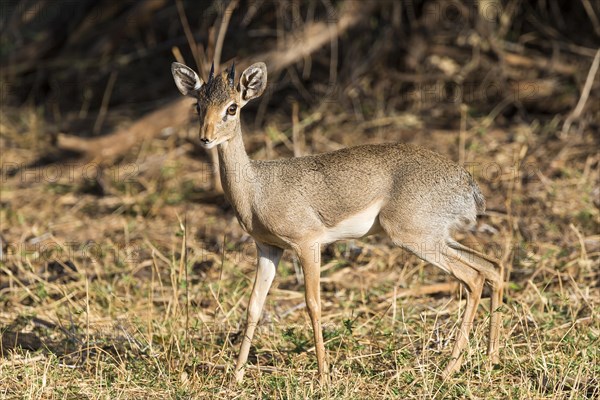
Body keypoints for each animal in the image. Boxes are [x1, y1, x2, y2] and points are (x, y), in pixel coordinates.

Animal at [171, 60, 504, 382]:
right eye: (198, 105)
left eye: (232, 107)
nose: (206, 138)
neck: (256, 189)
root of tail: (468, 184)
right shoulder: (268, 248)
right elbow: (254, 306)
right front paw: (236, 377)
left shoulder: (307, 243)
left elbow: (313, 305)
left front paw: (323, 377)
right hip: (438, 237)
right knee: (492, 267)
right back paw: (489, 361)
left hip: (414, 237)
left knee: (473, 277)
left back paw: (449, 370)